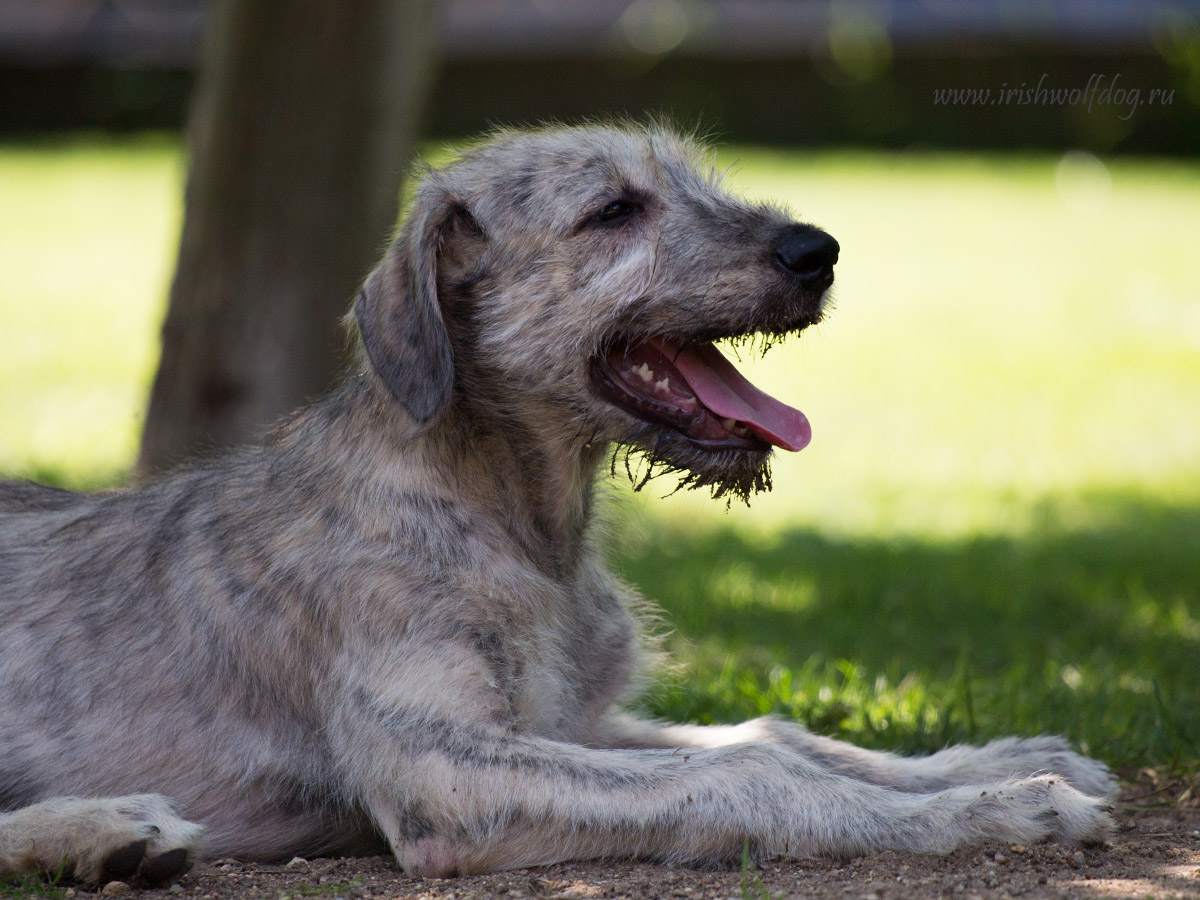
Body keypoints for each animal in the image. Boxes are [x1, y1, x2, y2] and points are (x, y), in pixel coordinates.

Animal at [0, 123, 1113, 883]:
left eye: (699, 184)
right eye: (614, 211)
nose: (817, 250)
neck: (513, 517)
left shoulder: (572, 723)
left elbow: (777, 734)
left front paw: (1005, 761)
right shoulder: (447, 772)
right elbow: (750, 773)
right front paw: (1004, 810)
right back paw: (98, 829)